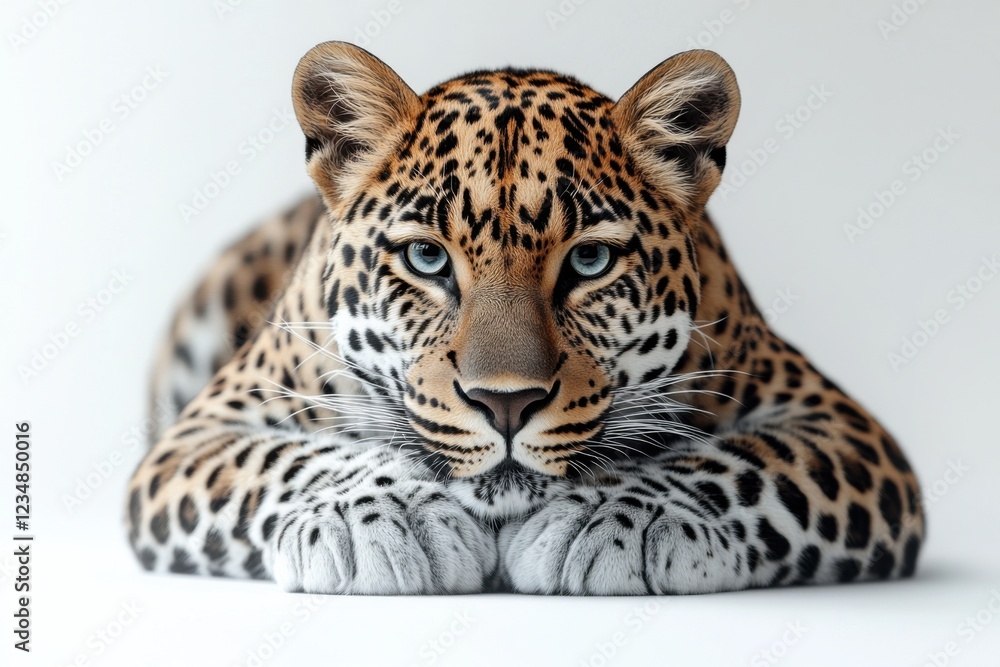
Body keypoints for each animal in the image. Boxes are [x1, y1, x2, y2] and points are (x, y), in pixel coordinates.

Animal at [125, 42, 924, 595]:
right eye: (426, 257)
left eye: (590, 262)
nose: (504, 403)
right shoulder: (195, 438)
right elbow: (290, 458)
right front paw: (384, 514)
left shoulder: (842, 428)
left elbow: (737, 465)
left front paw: (609, 518)